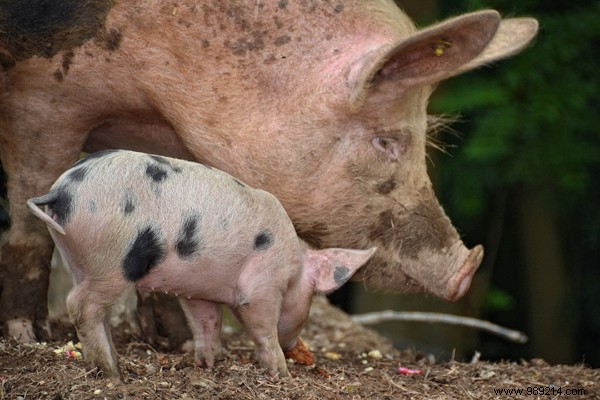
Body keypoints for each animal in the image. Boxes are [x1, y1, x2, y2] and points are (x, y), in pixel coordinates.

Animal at [0, 1, 536, 342]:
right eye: (387, 141)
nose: (466, 269)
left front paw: (175, 342)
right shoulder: (44, 97)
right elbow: (29, 221)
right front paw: (30, 338)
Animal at [28, 150, 378, 378]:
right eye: (311, 300)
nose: (296, 347)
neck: (293, 265)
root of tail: (62, 191)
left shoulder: (199, 291)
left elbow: (206, 323)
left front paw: (208, 365)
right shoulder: (263, 285)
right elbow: (261, 326)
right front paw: (282, 374)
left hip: (76, 257)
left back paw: (114, 364)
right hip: (113, 261)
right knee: (80, 305)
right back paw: (113, 373)